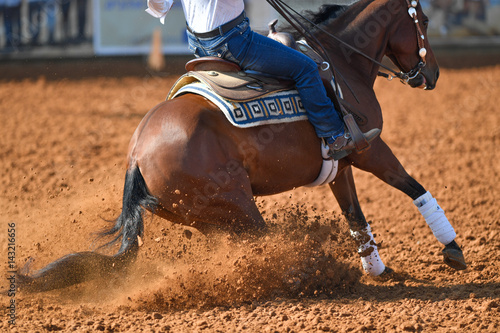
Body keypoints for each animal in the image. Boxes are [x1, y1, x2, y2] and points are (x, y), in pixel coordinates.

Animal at [18, 0, 464, 290]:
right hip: (238, 207)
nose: (432, 74)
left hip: (212, 218)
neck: (339, 60)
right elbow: (413, 187)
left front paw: (379, 270)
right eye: (424, 18)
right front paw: (453, 251)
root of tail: (136, 156)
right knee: (264, 241)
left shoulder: (342, 163)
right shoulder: (370, 149)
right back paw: (305, 276)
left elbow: (355, 215)